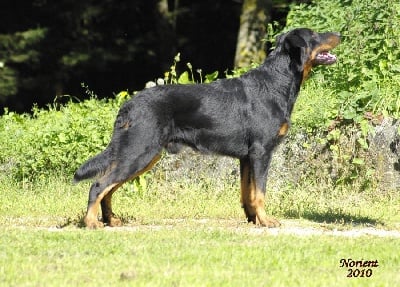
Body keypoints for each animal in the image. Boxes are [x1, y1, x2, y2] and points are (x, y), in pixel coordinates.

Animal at [75, 27, 340, 230]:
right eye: (314, 35)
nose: (338, 34)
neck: (278, 81)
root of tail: (128, 105)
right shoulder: (261, 152)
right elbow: (260, 192)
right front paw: (266, 221)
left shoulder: (246, 158)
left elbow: (247, 193)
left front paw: (252, 220)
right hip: (140, 151)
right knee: (99, 185)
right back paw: (92, 223)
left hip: (142, 155)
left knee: (109, 186)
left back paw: (111, 220)